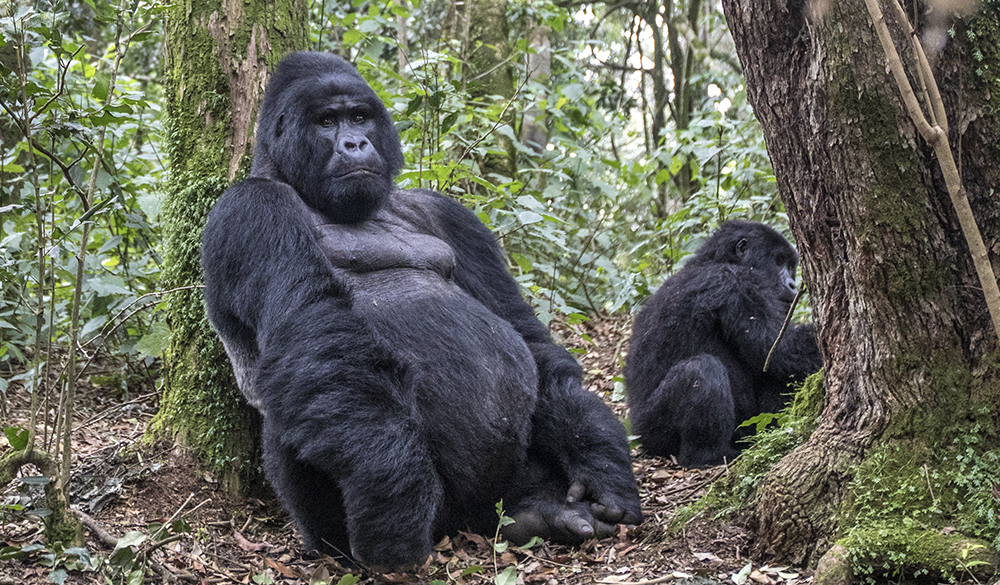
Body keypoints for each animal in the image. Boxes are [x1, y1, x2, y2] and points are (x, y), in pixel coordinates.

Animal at [201, 53, 640, 572]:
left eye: (359, 117)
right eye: (327, 122)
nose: (355, 143)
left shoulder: (447, 213)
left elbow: (529, 338)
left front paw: (597, 454)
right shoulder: (253, 209)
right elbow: (316, 335)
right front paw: (391, 497)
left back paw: (538, 509)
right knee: (311, 398)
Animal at [624, 221, 820, 468]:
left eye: (790, 265)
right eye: (778, 261)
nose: (793, 284)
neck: (715, 260)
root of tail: (635, 432)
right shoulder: (736, 282)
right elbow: (780, 349)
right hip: (651, 430)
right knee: (701, 370)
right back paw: (709, 455)